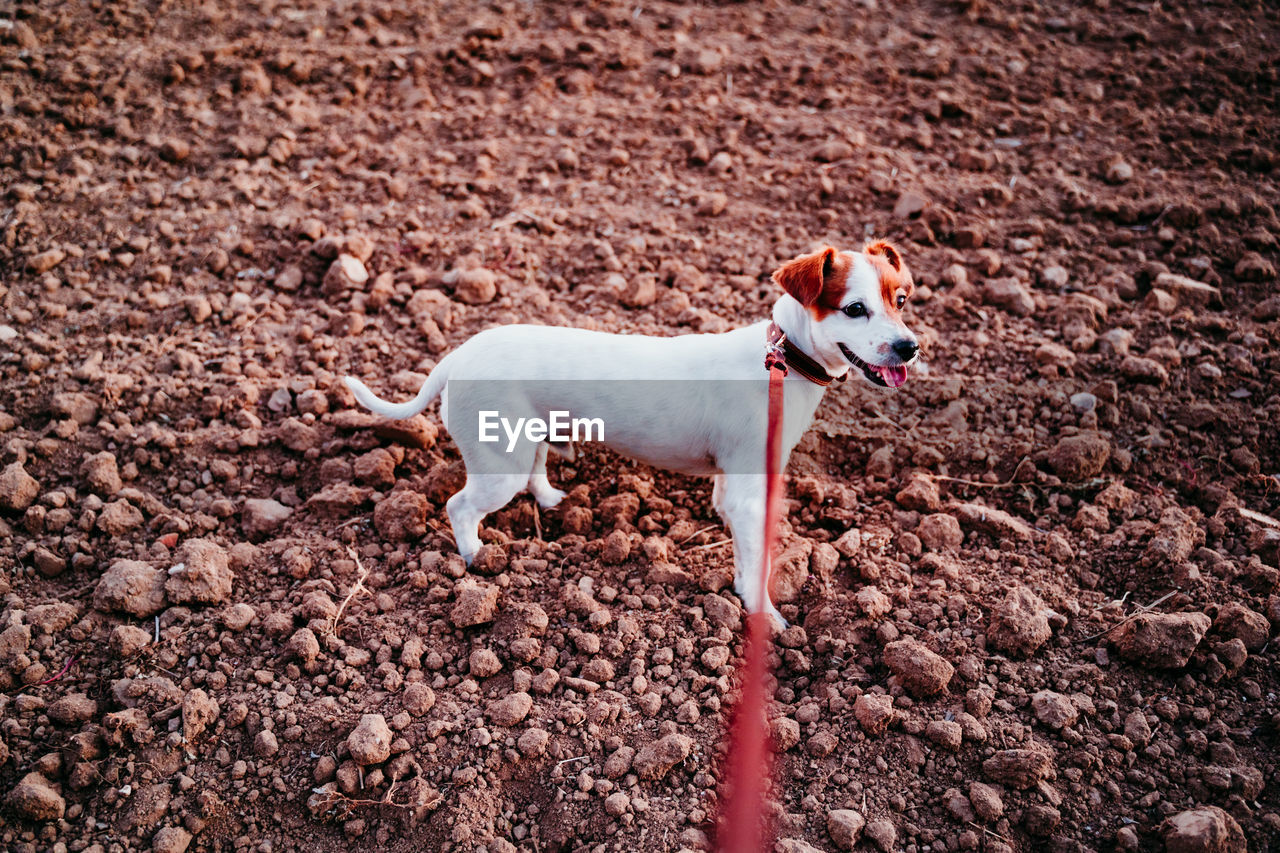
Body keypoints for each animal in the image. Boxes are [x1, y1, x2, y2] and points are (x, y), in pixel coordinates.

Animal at [345, 242, 916, 622]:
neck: (783, 358)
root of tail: (456, 357)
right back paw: (475, 558)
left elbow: (728, 515)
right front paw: (764, 617)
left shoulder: (734, 479)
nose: (910, 347)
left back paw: (552, 500)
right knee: (459, 507)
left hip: (524, 437)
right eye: (855, 309)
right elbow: (754, 562)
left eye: (902, 300)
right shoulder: (753, 491)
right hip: (496, 465)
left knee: (533, 471)